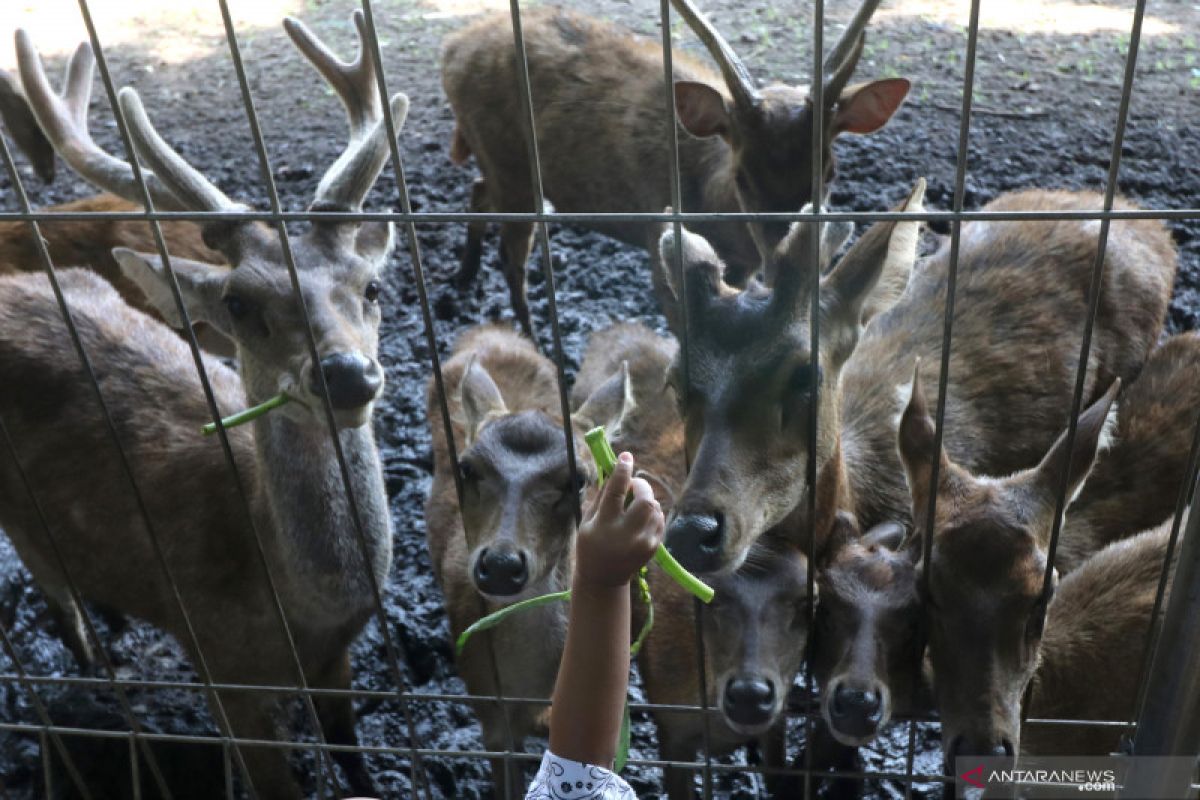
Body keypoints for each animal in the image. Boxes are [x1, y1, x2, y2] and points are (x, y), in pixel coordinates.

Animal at [2, 15, 410, 796]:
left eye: (371, 287)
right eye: (240, 304)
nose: (346, 375)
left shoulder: (338, 659)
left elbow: (352, 757)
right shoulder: (220, 669)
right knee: (54, 595)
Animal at [441, 0, 907, 335]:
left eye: (829, 173)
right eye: (742, 176)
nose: (786, 268)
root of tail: (452, 49)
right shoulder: (659, 240)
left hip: (498, 159)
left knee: (478, 189)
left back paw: (464, 275)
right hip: (510, 164)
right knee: (511, 255)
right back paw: (535, 342)